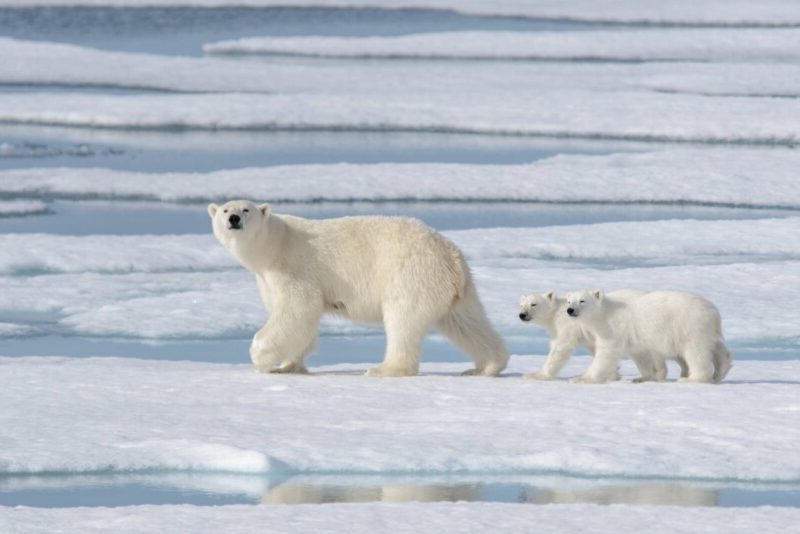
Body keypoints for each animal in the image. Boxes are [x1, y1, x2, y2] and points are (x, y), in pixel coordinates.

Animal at [206, 199, 506, 378]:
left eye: (246, 209)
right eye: (225, 210)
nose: (233, 219)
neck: (274, 244)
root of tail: (451, 256)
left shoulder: (293, 268)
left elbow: (298, 309)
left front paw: (261, 358)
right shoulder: (267, 279)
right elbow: (299, 321)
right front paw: (290, 366)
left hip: (410, 275)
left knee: (403, 321)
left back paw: (384, 369)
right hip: (455, 289)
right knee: (466, 323)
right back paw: (486, 366)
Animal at [520, 292, 656, 384]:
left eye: (533, 304)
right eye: (521, 305)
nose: (522, 315)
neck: (556, 314)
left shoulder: (568, 327)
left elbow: (560, 349)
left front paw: (535, 375)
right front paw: (612, 375)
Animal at [564, 288, 732, 386]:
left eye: (582, 300)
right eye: (568, 300)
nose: (570, 310)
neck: (605, 312)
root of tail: (714, 312)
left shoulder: (614, 328)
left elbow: (606, 354)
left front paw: (581, 378)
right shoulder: (635, 337)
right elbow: (641, 355)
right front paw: (643, 377)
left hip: (689, 326)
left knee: (696, 352)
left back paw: (692, 378)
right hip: (705, 329)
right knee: (717, 348)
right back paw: (720, 371)